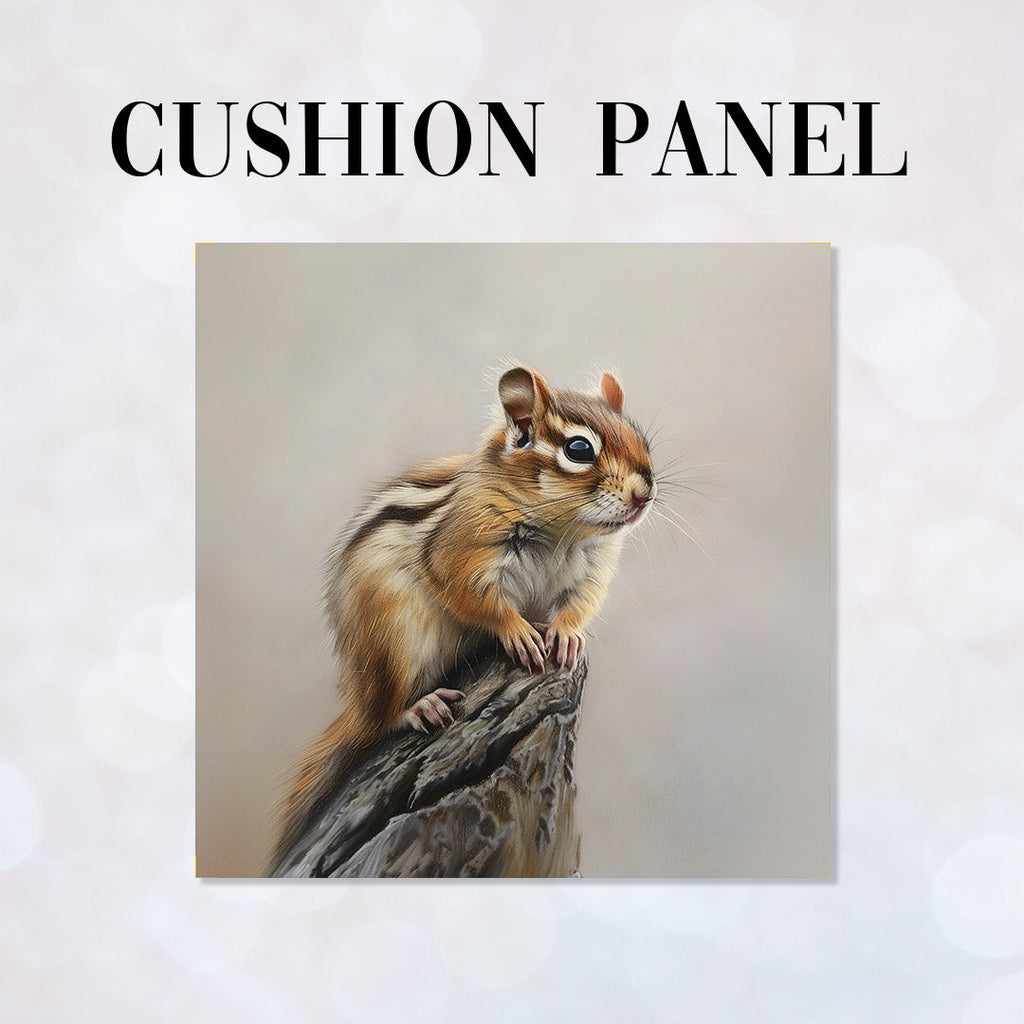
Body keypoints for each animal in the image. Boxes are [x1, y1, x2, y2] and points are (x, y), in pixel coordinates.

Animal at [269, 365, 656, 872]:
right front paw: (519, 634)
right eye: (579, 449)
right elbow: (478, 601)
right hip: (394, 645)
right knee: (383, 717)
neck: (562, 531)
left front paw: (567, 636)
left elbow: (580, 605)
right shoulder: (461, 553)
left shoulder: (592, 569)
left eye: (641, 440)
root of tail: (360, 693)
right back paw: (420, 706)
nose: (644, 493)